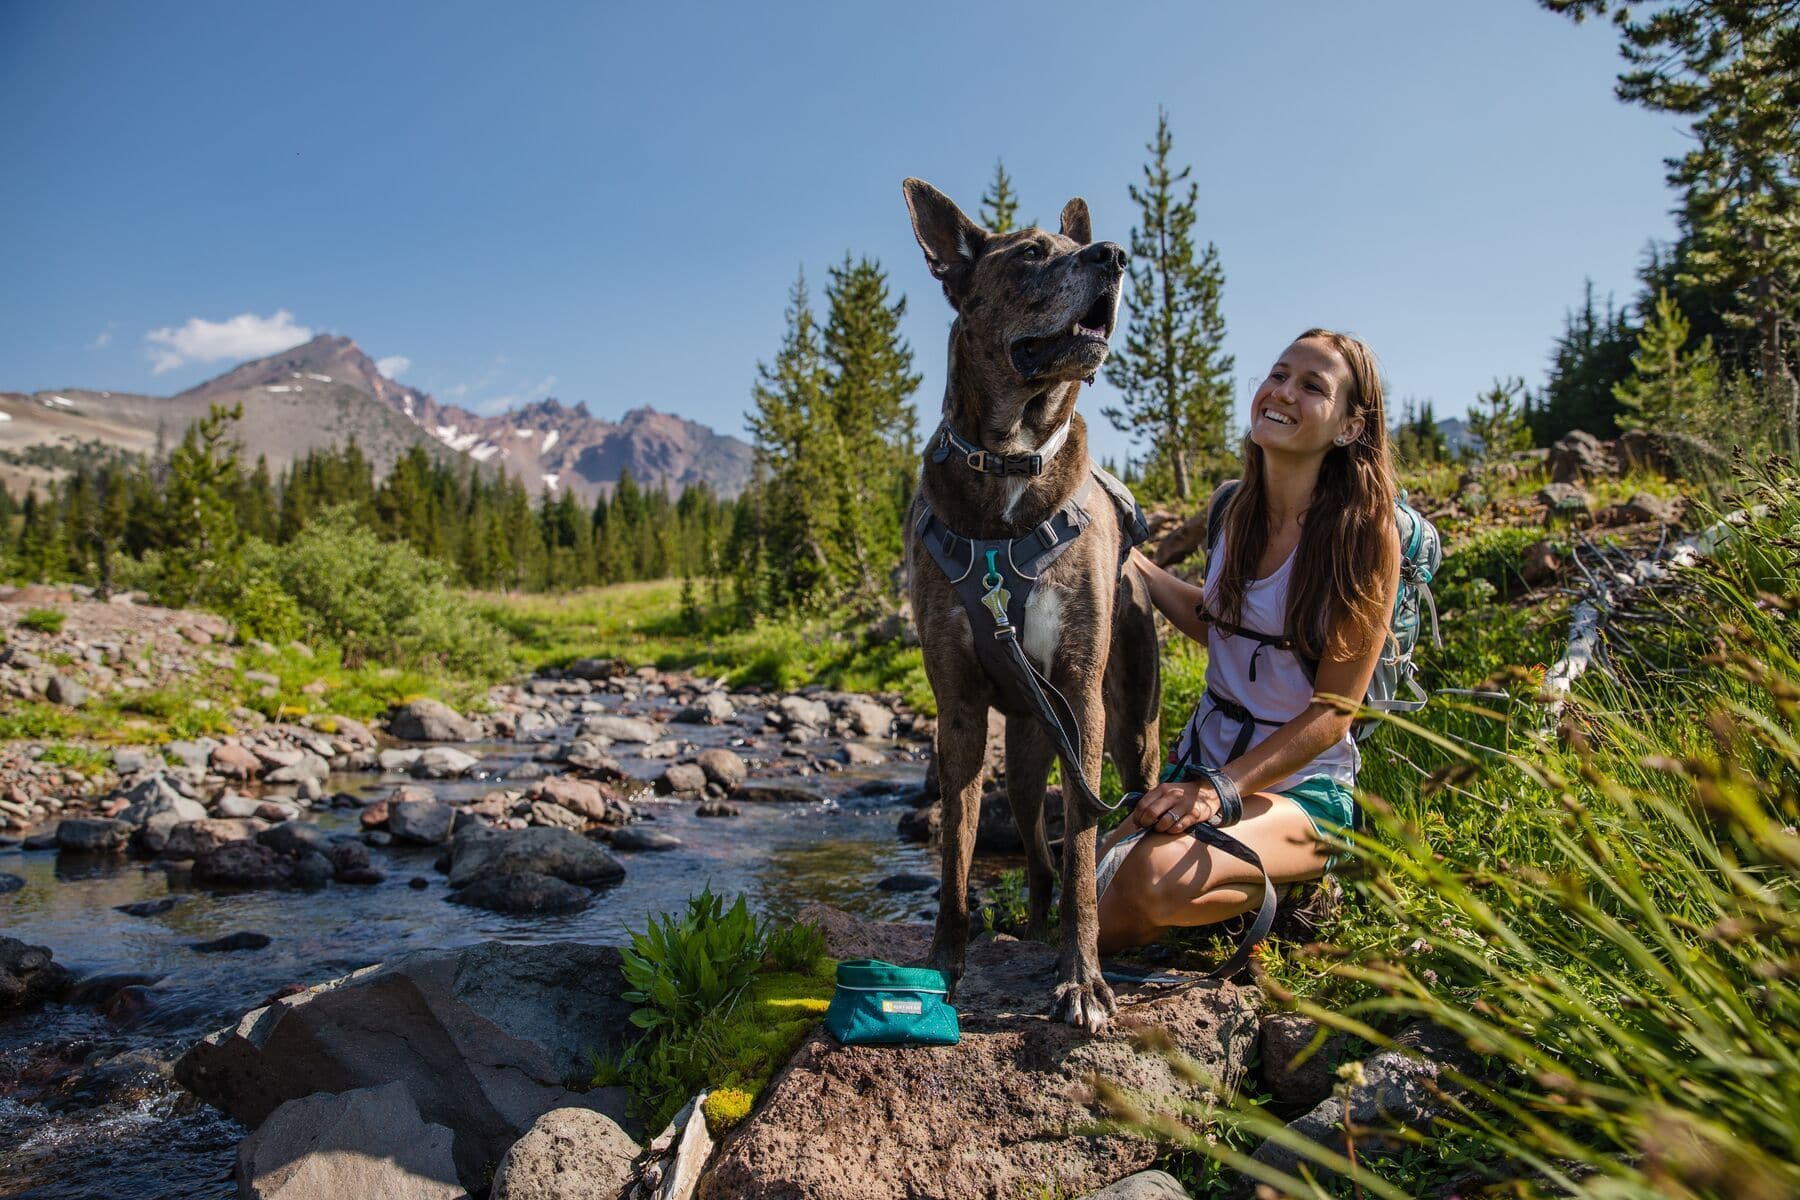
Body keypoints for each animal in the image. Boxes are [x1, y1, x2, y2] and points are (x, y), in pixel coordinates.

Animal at [900, 178, 1166, 1036]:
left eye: (1078, 246)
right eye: (1027, 256)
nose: (1113, 255)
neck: (1010, 460)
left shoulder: (1080, 695)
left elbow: (1083, 847)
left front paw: (1083, 981)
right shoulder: (957, 706)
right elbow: (955, 853)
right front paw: (945, 964)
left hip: (1128, 725)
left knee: (1116, 808)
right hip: (1021, 737)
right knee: (1032, 837)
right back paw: (1033, 915)